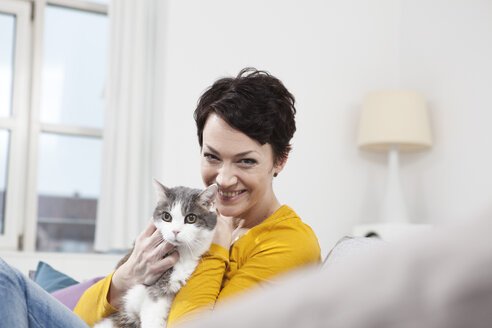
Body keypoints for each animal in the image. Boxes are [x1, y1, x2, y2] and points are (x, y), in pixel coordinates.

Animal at [95, 182, 218, 328]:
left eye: (191, 218)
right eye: (166, 216)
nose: (175, 231)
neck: (182, 253)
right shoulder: (153, 289)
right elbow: (152, 311)